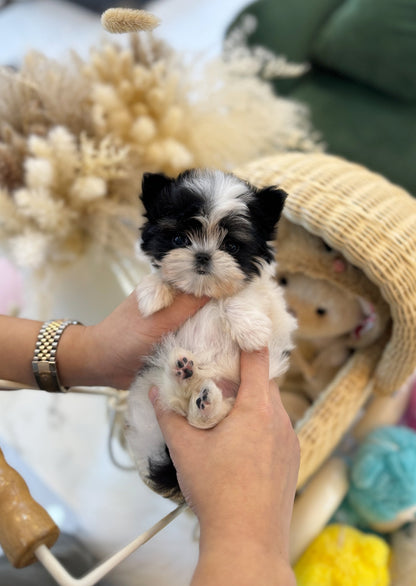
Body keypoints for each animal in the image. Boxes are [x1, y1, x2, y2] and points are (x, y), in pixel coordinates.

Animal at [125, 167, 298, 500]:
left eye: (231, 246)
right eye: (178, 238)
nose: (203, 255)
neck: (204, 291)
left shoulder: (274, 310)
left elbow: (238, 295)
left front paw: (251, 330)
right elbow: (160, 275)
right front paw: (153, 293)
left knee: (205, 415)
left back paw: (204, 402)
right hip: (150, 387)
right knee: (175, 401)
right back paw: (185, 374)